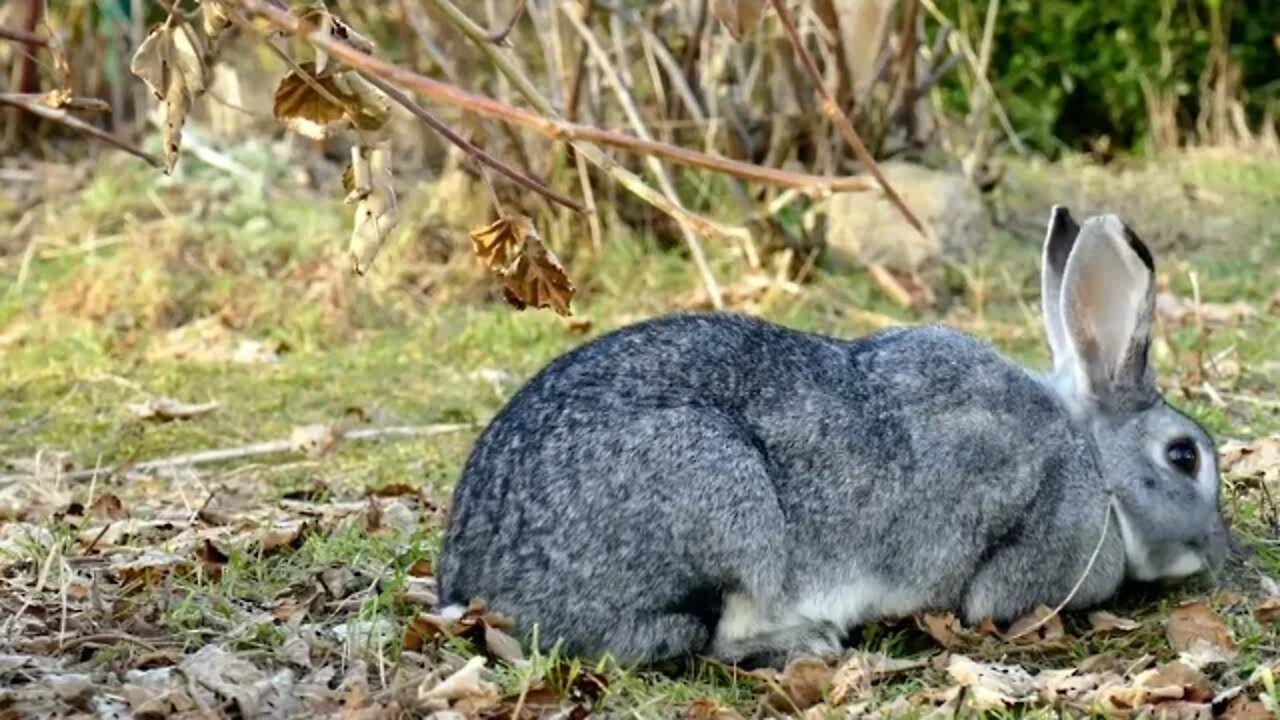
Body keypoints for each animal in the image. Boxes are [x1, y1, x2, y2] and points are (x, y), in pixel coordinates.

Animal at [432, 207, 1228, 666]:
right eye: (1183, 456)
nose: (1221, 551)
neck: (1091, 460)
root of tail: (474, 586)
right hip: (726, 503)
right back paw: (808, 640)